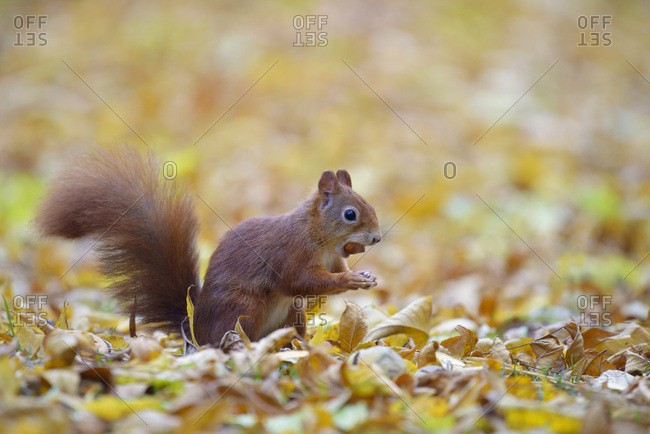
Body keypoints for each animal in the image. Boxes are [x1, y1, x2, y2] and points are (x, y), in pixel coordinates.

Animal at [35, 146, 381, 346]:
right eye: (350, 214)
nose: (377, 238)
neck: (320, 237)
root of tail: (195, 333)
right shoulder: (291, 253)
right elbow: (302, 281)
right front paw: (349, 280)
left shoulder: (333, 257)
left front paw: (365, 276)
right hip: (246, 308)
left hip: (292, 314)